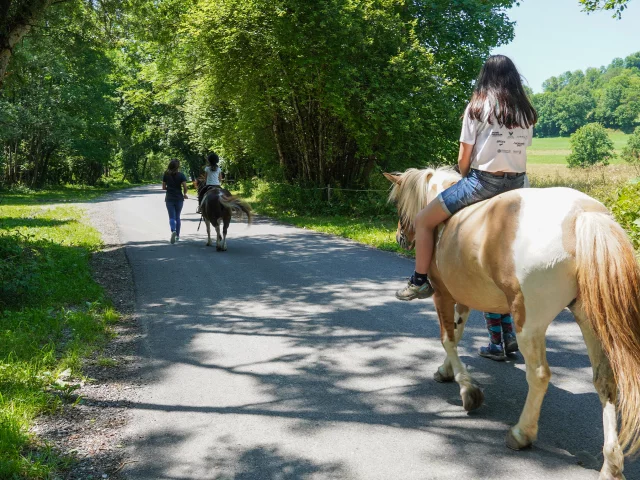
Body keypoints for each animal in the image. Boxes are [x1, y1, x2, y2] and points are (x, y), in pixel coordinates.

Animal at [384, 167, 640, 478]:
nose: (400, 237)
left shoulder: (443, 294)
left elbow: (447, 338)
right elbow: (457, 332)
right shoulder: (464, 296)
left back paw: (521, 434)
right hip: (589, 318)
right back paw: (611, 463)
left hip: (529, 323)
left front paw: (468, 389)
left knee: (539, 375)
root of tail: (582, 215)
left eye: (400, 206)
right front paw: (446, 371)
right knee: (605, 379)